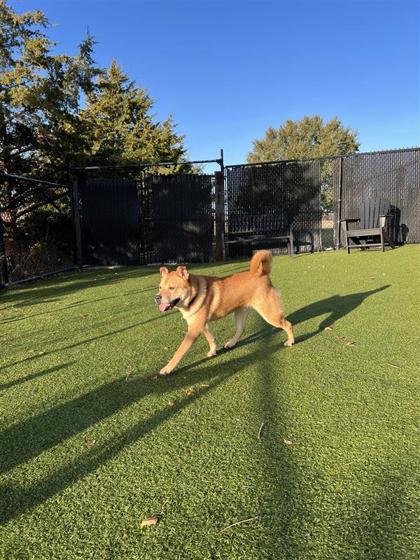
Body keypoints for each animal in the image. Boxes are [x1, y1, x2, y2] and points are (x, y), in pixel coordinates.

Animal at [155, 250, 296, 376]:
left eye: (172, 288)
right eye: (160, 287)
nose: (157, 297)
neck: (194, 294)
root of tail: (261, 273)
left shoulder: (194, 329)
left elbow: (179, 352)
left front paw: (167, 368)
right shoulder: (202, 325)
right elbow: (211, 338)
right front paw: (213, 351)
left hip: (269, 314)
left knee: (287, 324)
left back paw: (290, 341)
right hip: (240, 312)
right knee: (241, 329)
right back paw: (231, 343)